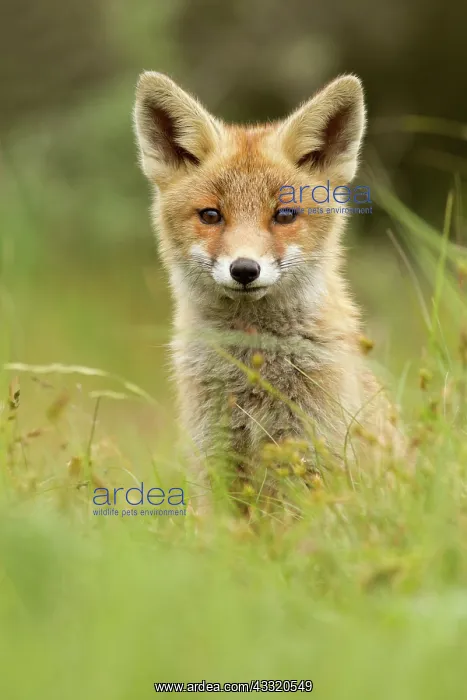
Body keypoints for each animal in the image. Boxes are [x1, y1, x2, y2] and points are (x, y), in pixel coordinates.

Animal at [133, 72, 397, 507]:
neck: (254, 371)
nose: (244, 269)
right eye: (211, 215)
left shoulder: (313, 454)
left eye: (284, 215)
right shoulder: (216, 457)